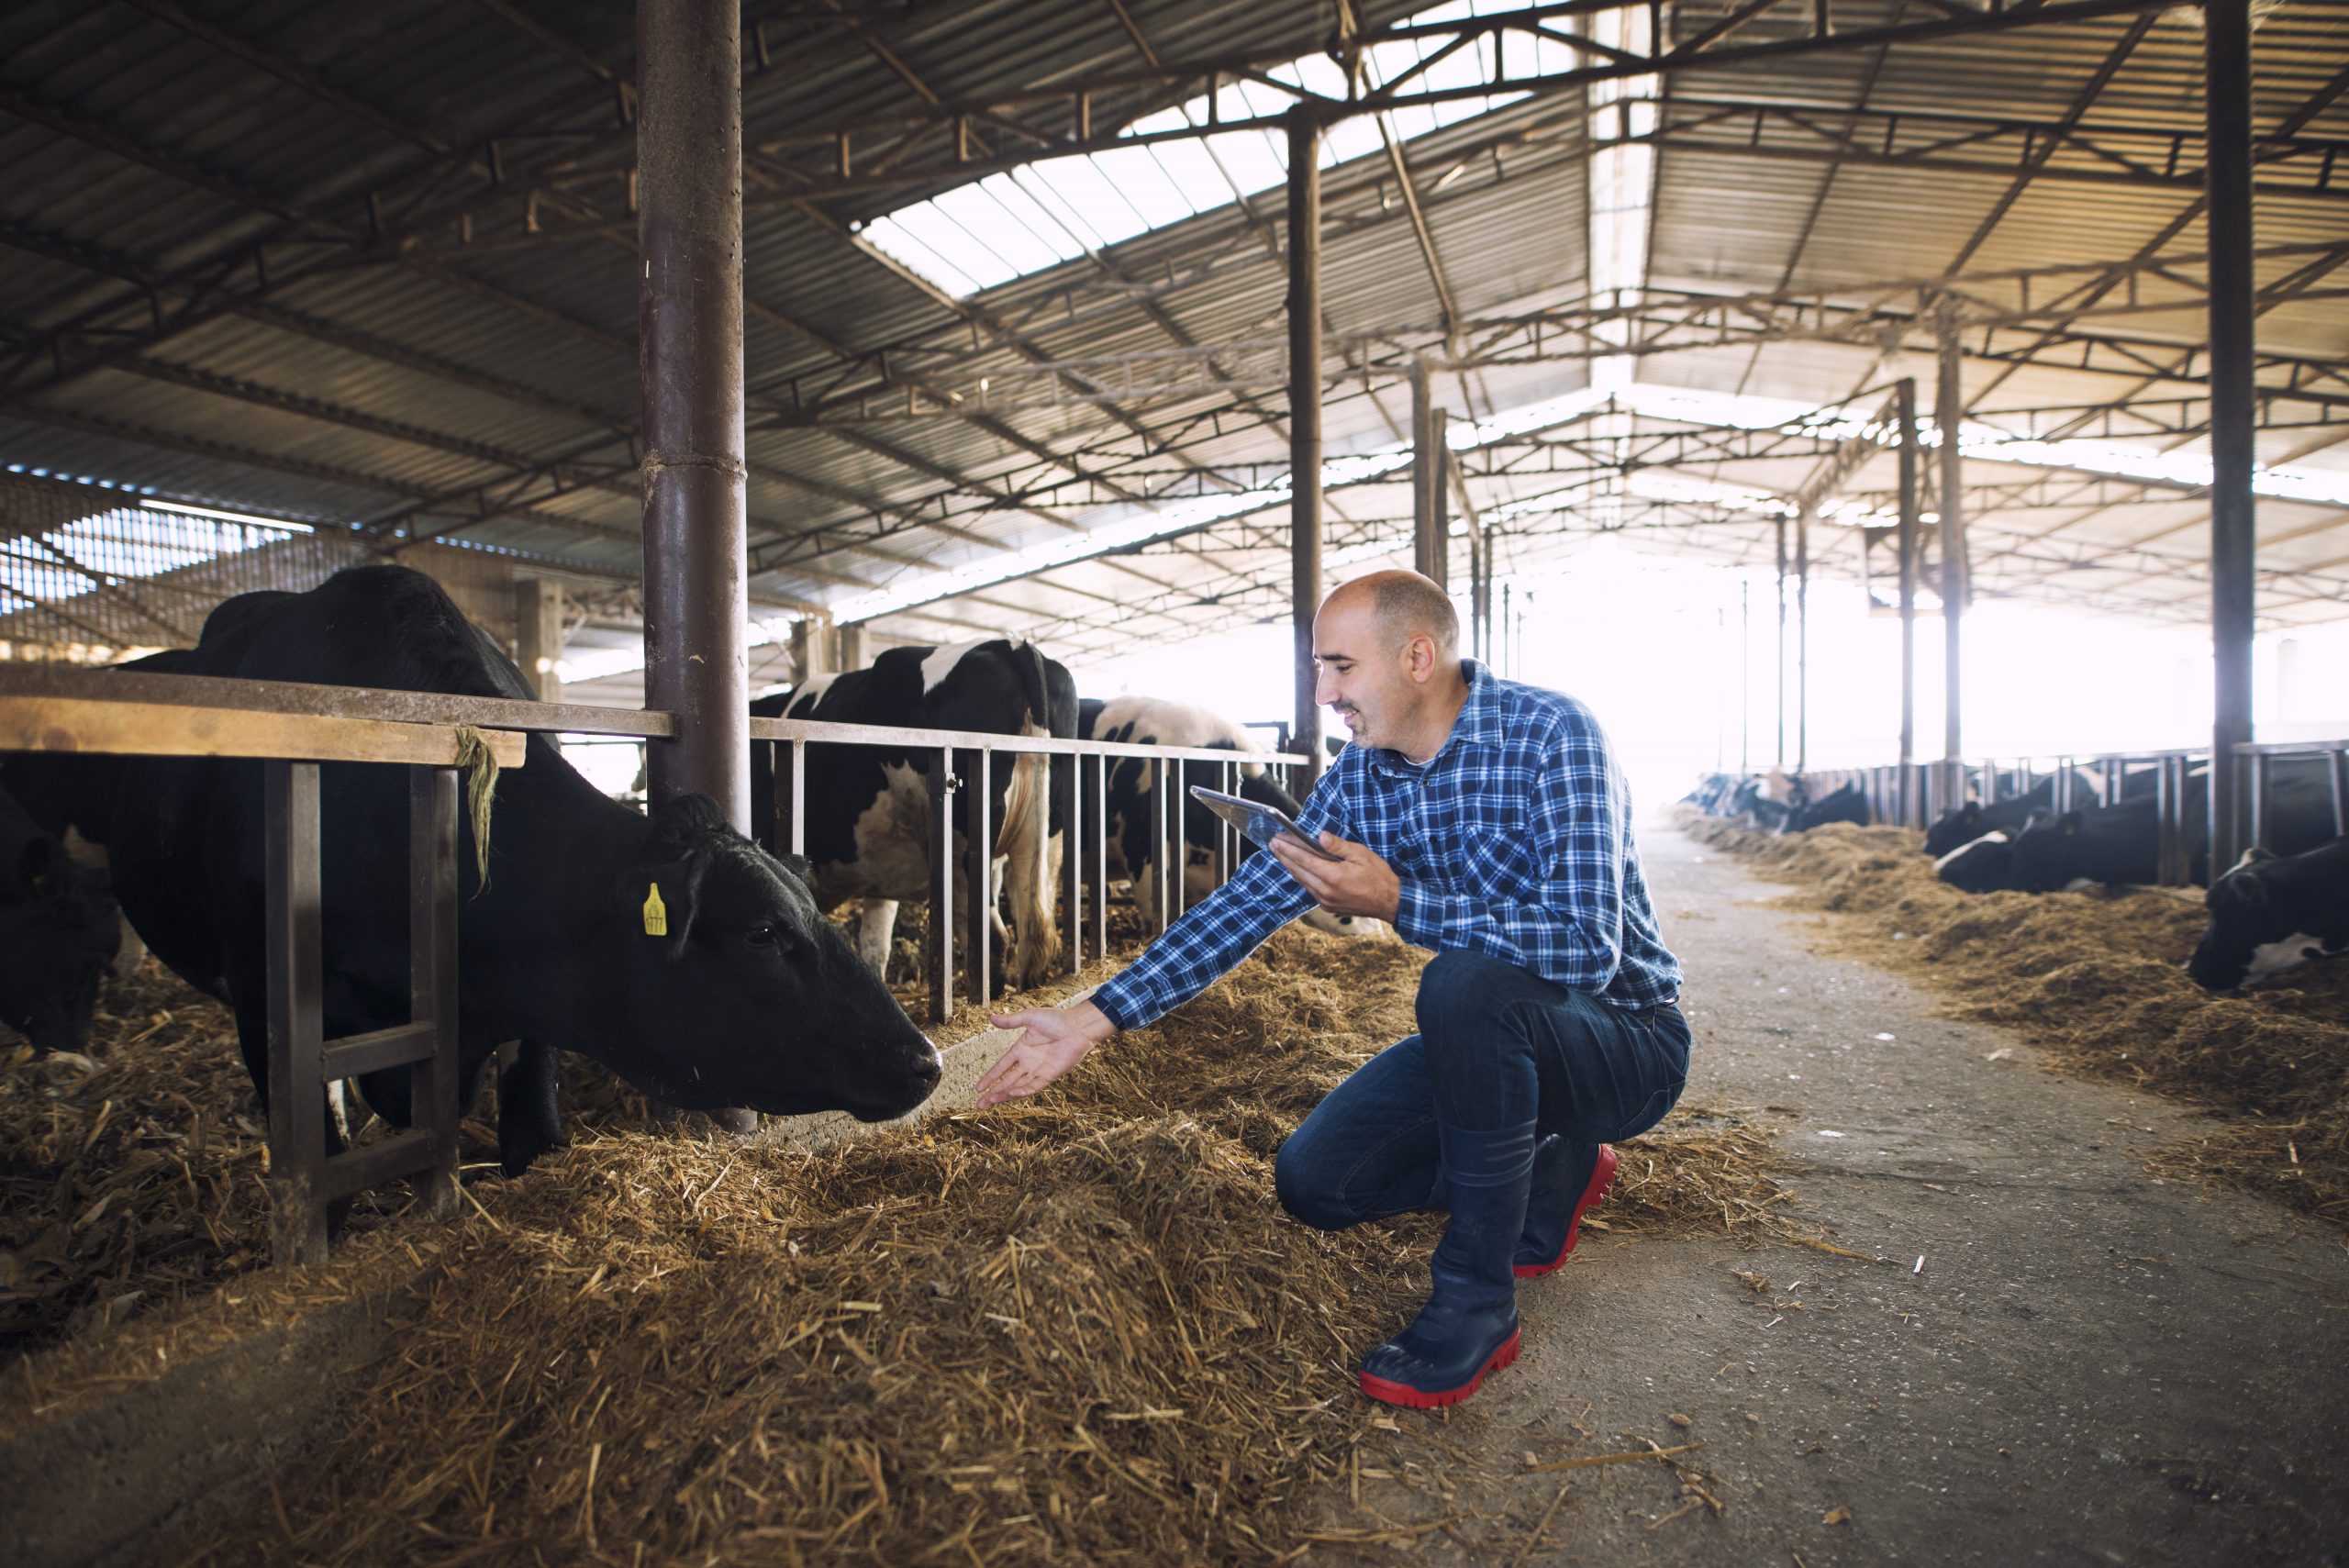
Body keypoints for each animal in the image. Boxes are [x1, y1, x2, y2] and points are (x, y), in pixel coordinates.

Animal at [751, 633, 1075, 981]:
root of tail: (1011, 644)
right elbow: (875, 947)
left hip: (963, 852)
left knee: (993, 942)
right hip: (1044, 843)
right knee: (1033, 937)